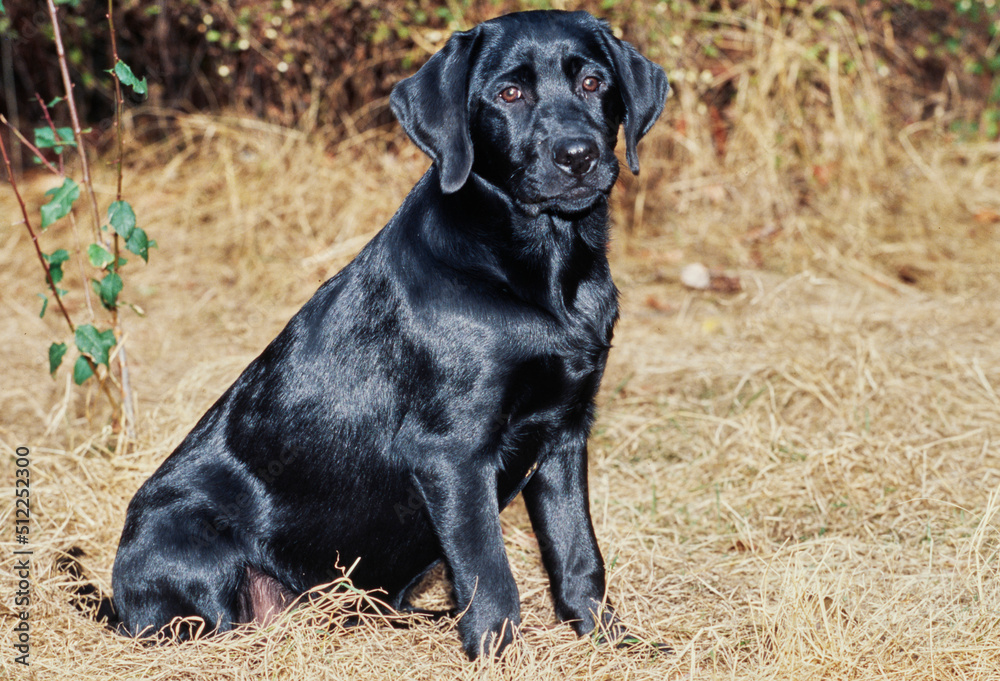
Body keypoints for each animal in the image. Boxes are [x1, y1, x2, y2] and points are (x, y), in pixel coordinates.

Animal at [111, 9, 664, 660]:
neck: (543, 274)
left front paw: (610, 642)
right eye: (509, 94)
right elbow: (490, 571)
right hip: (184, 537)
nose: (578, 155)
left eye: (593, 83)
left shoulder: (564, 432)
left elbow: (578, 556)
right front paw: (499, 655)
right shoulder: (451, 449)